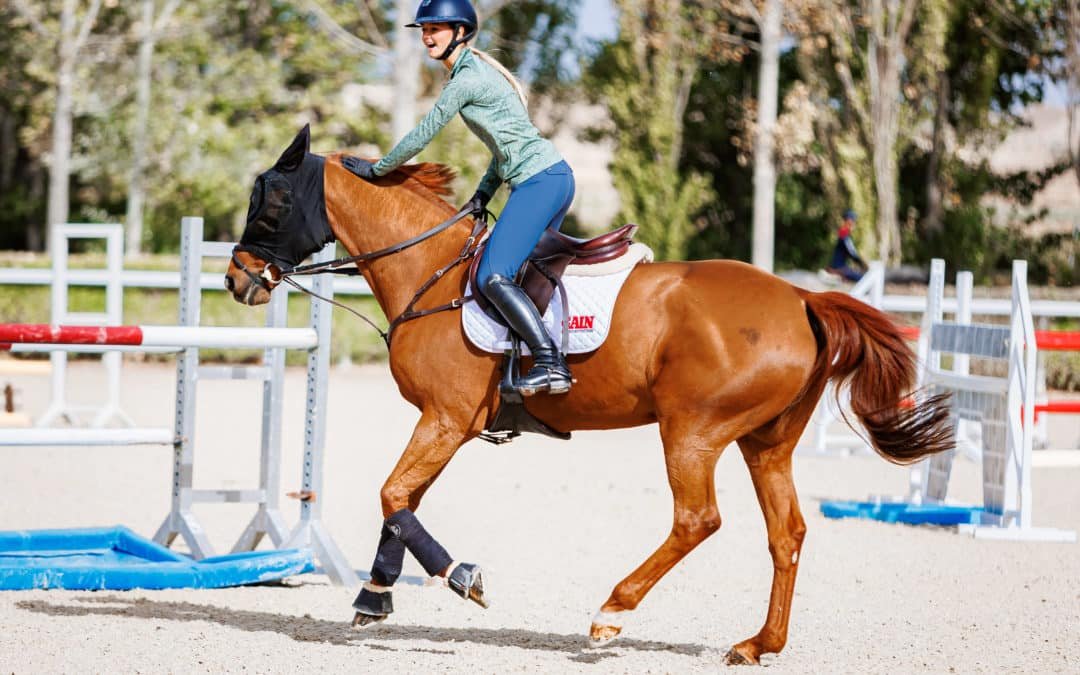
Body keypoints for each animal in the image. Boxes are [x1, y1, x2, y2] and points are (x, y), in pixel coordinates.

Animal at [225, 126, 953, 665]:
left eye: (271, 204)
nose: (237, 280)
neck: (429, 271)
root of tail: (801, 297)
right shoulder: (446, 424)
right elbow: (402, 499)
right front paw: (376, 593)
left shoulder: (447, 419)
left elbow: (393, 493)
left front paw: (459, 577)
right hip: (763, 443)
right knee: (787, 533)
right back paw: (758, 643)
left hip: (692, 432)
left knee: (698, 520)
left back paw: (611, 613)